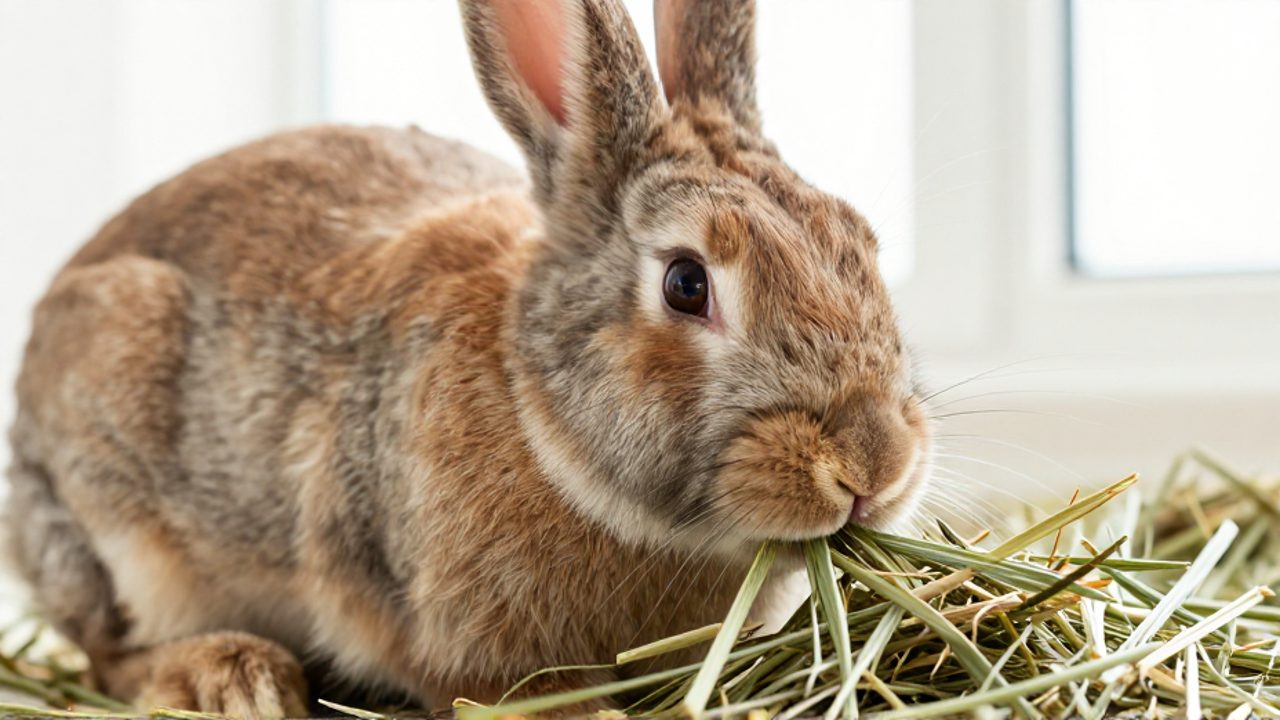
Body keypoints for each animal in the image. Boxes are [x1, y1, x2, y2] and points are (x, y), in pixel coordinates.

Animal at [4, 0, 933, 716]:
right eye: (685, 283)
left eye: (859, 240)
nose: (873, 464)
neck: (540, 421)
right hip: (115, 523)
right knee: (108, 653)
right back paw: (233, 678)